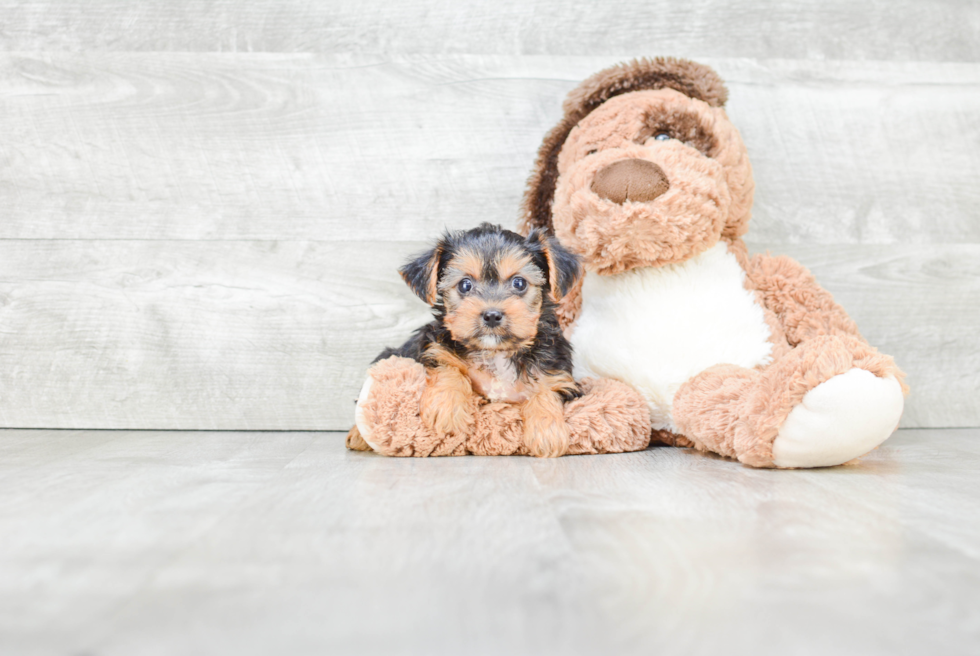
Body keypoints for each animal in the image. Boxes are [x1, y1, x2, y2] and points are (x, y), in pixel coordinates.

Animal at [352, 223, 580, 458]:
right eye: (464, 285)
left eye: (519, 283)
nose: (492, 315)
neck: (495, 352)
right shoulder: (434, 346)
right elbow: (448, 366)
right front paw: (446, 407)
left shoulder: (559, 373)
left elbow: (546, 390)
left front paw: (547, 432)